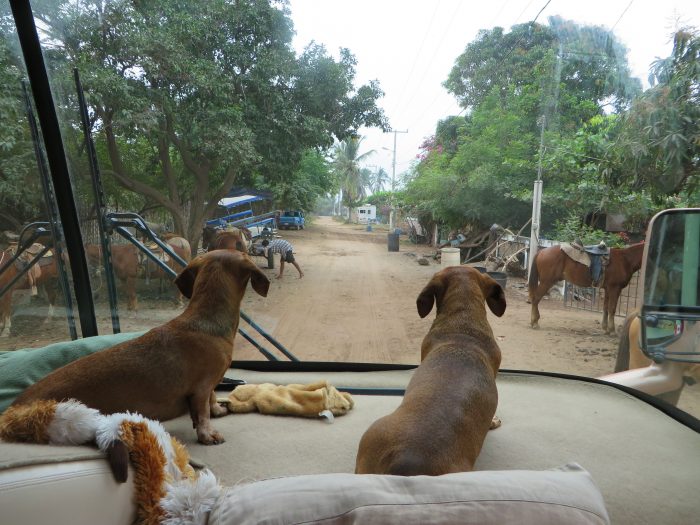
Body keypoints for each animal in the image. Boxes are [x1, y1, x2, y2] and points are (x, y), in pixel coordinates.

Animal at [11, 250, 268, 446]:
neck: (205, 322)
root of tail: (13, 409)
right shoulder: (201, 388)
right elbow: (203, 413)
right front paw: (208, 434)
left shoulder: (209, 384)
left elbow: (212, 400)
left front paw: (217, 410)